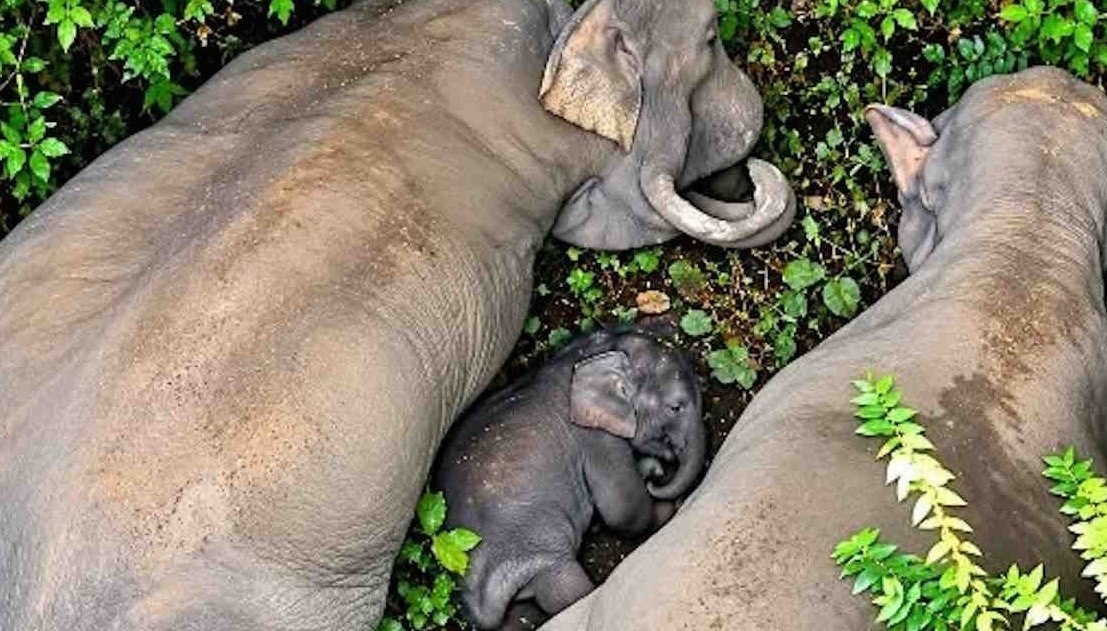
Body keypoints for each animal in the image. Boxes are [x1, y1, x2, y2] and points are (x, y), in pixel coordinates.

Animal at [432, 328, 705, 629]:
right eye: (675, 407)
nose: (659, 477)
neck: (589, 355)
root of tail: (480, 604)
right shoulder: (595, 437)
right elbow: (622, 509)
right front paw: (667, 505)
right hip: (537, 554)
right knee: (569, 591)